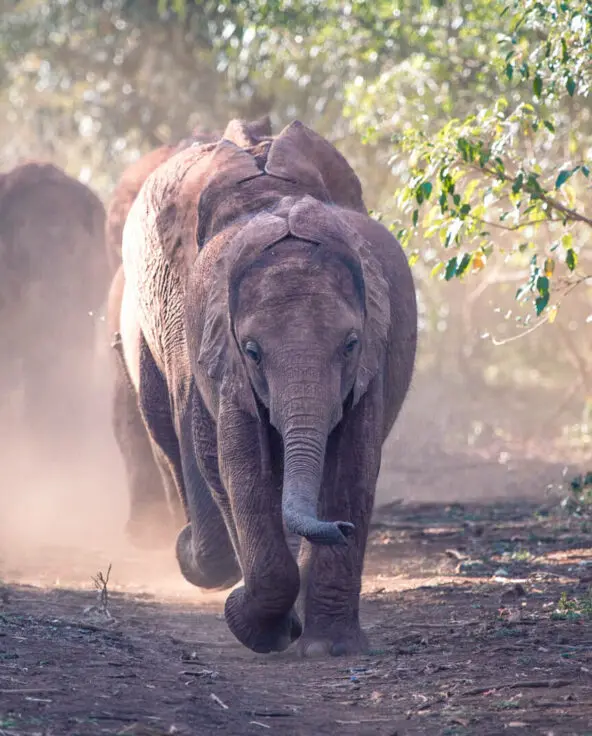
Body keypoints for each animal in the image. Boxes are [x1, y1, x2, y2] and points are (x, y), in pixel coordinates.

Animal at [112, 116, 417, 657]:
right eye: (252, 351)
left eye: (350, 344)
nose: (340, 529)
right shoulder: (202, 334)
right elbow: (236, 460)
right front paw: (260, 625)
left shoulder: (371, 359)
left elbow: (354, 460)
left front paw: (329, 650)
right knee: (169, 434)